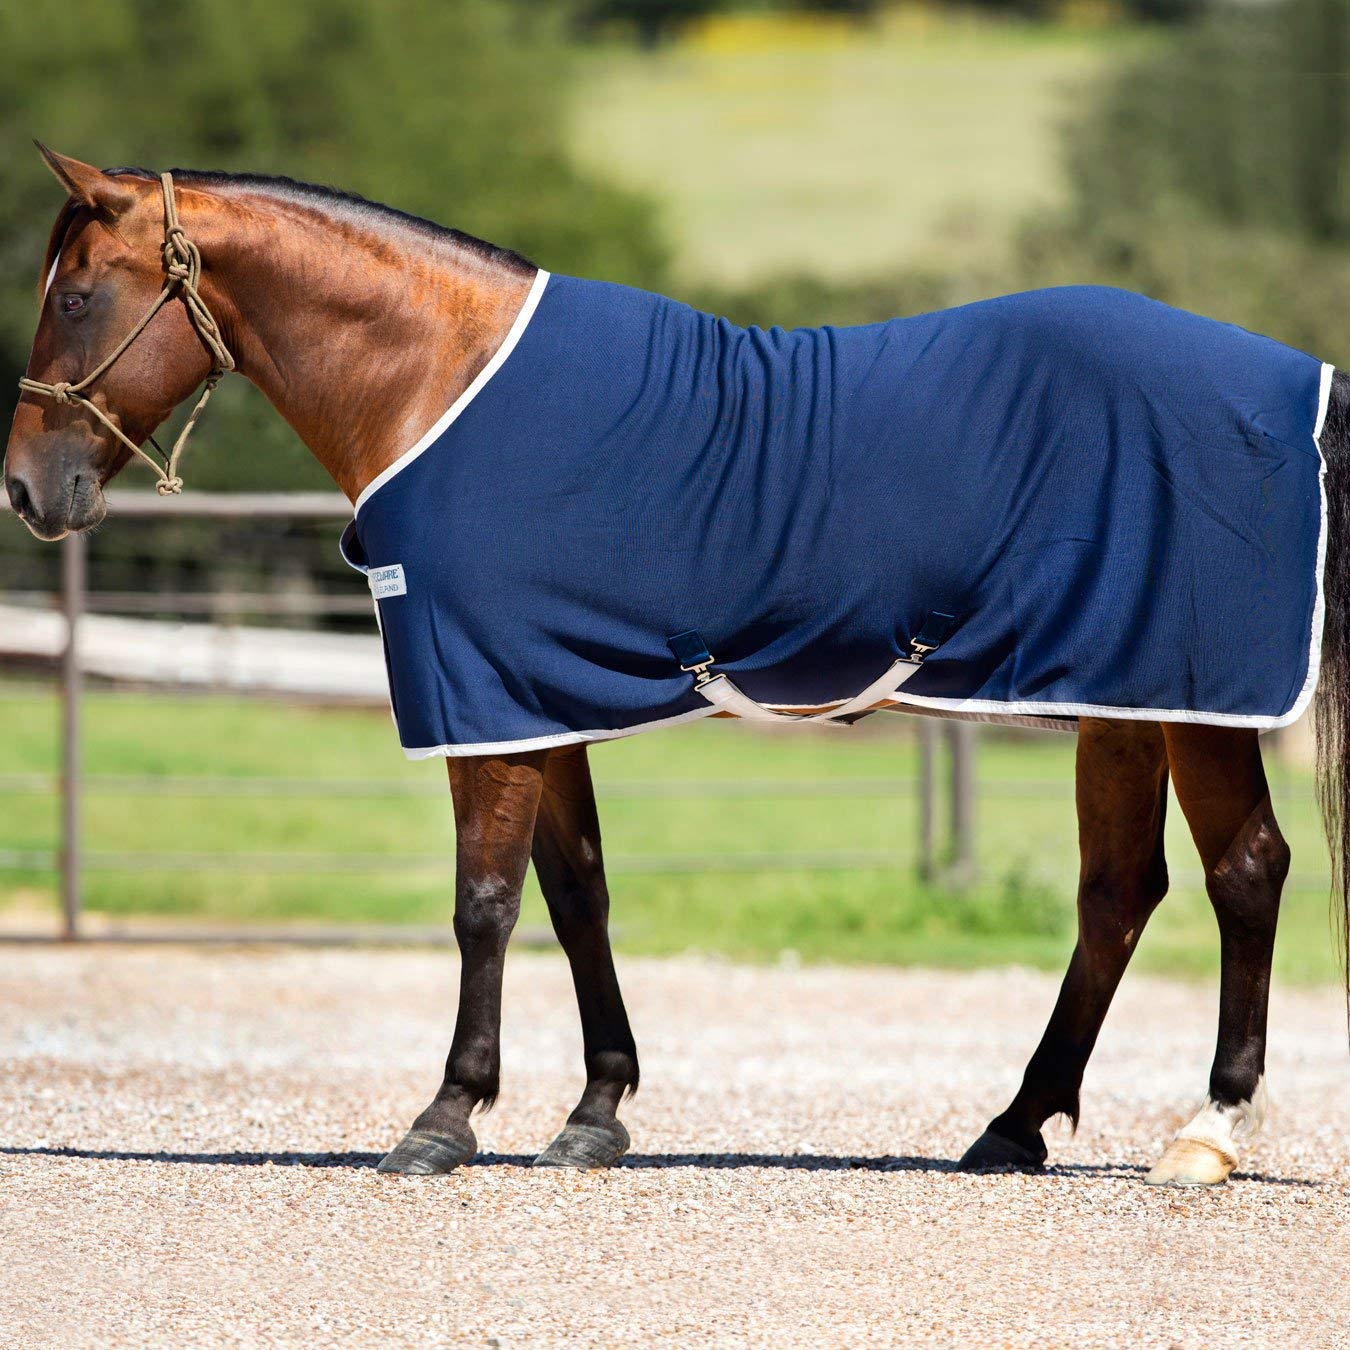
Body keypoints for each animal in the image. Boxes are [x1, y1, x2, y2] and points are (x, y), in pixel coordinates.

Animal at [6, 146, 1348, 1187]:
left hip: (1198, 699)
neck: (444, 380)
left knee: (1244, 873)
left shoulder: (482, 698)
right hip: (1123, 699)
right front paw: (596, 1113)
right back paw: (1014, 1126)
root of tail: (1294, 380)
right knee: (1120, 894)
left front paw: (446, 1118)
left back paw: (1208, 1131)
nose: (27, 489)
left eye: (76, 295)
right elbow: (575, 894)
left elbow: (484, 902)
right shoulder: (533, 699)